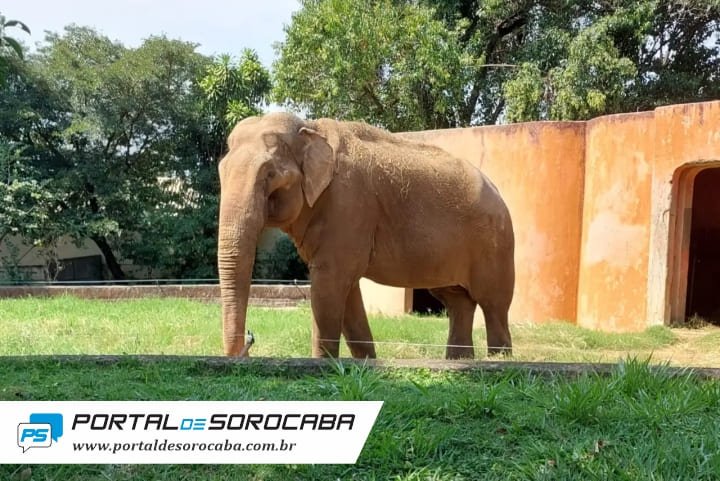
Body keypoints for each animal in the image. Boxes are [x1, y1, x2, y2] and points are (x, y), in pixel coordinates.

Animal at [218, 112, 514, 360]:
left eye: (270, 175)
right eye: (221, 171)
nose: (248, 343)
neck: (311, 128)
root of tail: (498, 192)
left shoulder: (349, 206)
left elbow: (329, 285)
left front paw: (323, 364)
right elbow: (346, 291)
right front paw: (367, 362)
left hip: (496, 243)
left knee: (493, 305)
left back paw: (498, 360)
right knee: (457, 301)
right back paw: (459, 361)